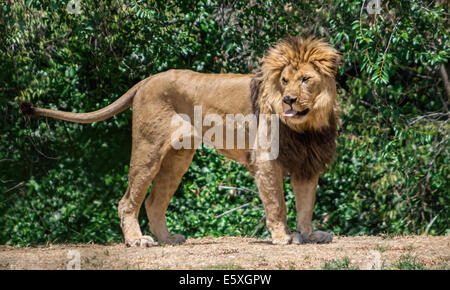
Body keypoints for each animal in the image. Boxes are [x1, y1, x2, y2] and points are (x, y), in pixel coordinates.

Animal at [20, 36, 338, 247]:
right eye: (284, 81)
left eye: (306, 79)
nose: (288, 99)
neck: (307, 126)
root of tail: (146, 80)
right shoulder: (266, 159)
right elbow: (277, 203)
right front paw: (282, 236)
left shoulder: (308, 163)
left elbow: (306, 204)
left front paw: (310, 234)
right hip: (147, 150)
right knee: (128, 201)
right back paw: (137, 240)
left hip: (177, 159)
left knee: (153, 202)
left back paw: (167, 238)